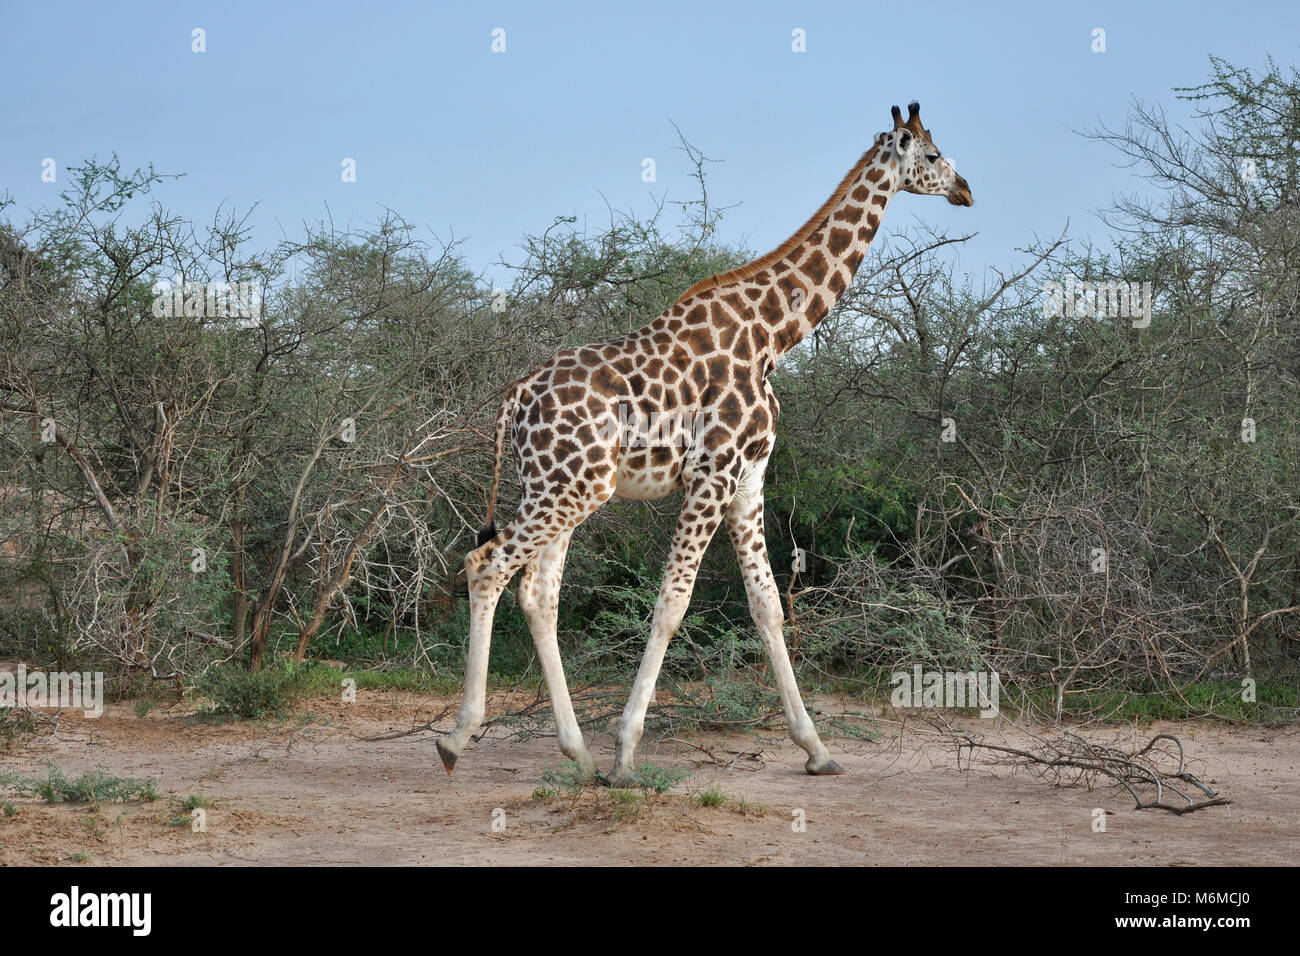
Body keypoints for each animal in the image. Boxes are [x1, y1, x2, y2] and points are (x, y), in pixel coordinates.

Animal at [437, 102, 973, 786]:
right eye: (932, 155)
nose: (966, 191)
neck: (774, 334)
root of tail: (515, 400)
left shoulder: (749, 477)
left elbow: (767, 605)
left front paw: (817, 749)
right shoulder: (712, 474)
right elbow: (673, 603)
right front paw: (627, 752)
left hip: (561, 485)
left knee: (537, 593)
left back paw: (576, 753)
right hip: (570, 488)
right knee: (488, 565)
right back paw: (459, 740)